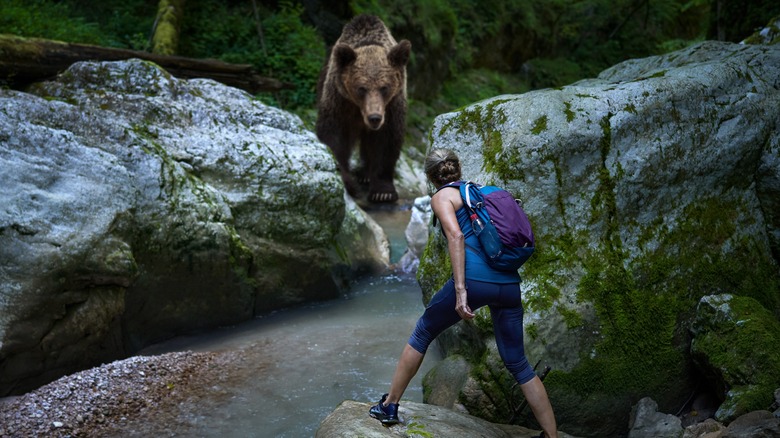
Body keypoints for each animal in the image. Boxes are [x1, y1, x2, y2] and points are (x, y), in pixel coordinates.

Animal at [314, 15, 412, 204]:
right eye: (361, 88)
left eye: (384, 87)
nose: (374, 117)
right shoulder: (340, 100)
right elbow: (334, 136)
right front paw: (348, 182)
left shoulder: (391, 106)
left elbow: (386, 141)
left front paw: (383, 192)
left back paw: (365, 175)